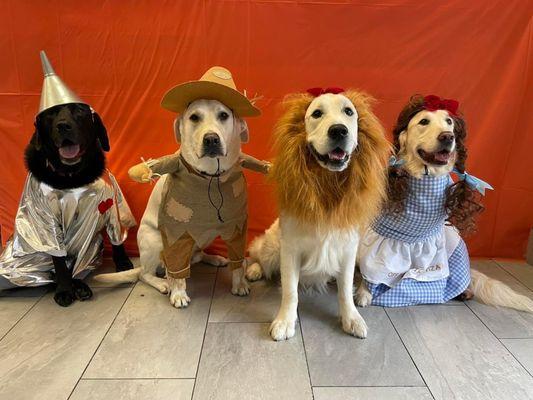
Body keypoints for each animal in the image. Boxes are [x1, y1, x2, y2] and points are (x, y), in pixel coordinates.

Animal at [24, 103, 133, 306]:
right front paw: (64, 291)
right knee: (53, 274)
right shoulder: (46, 220)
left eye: (79, 110)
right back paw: (75, 286)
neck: (72, 177)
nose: (63, 126)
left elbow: (116, 239)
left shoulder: (110, 204)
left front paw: (123, 263)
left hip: (95, 245)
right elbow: (59, 262)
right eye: (51, 113)